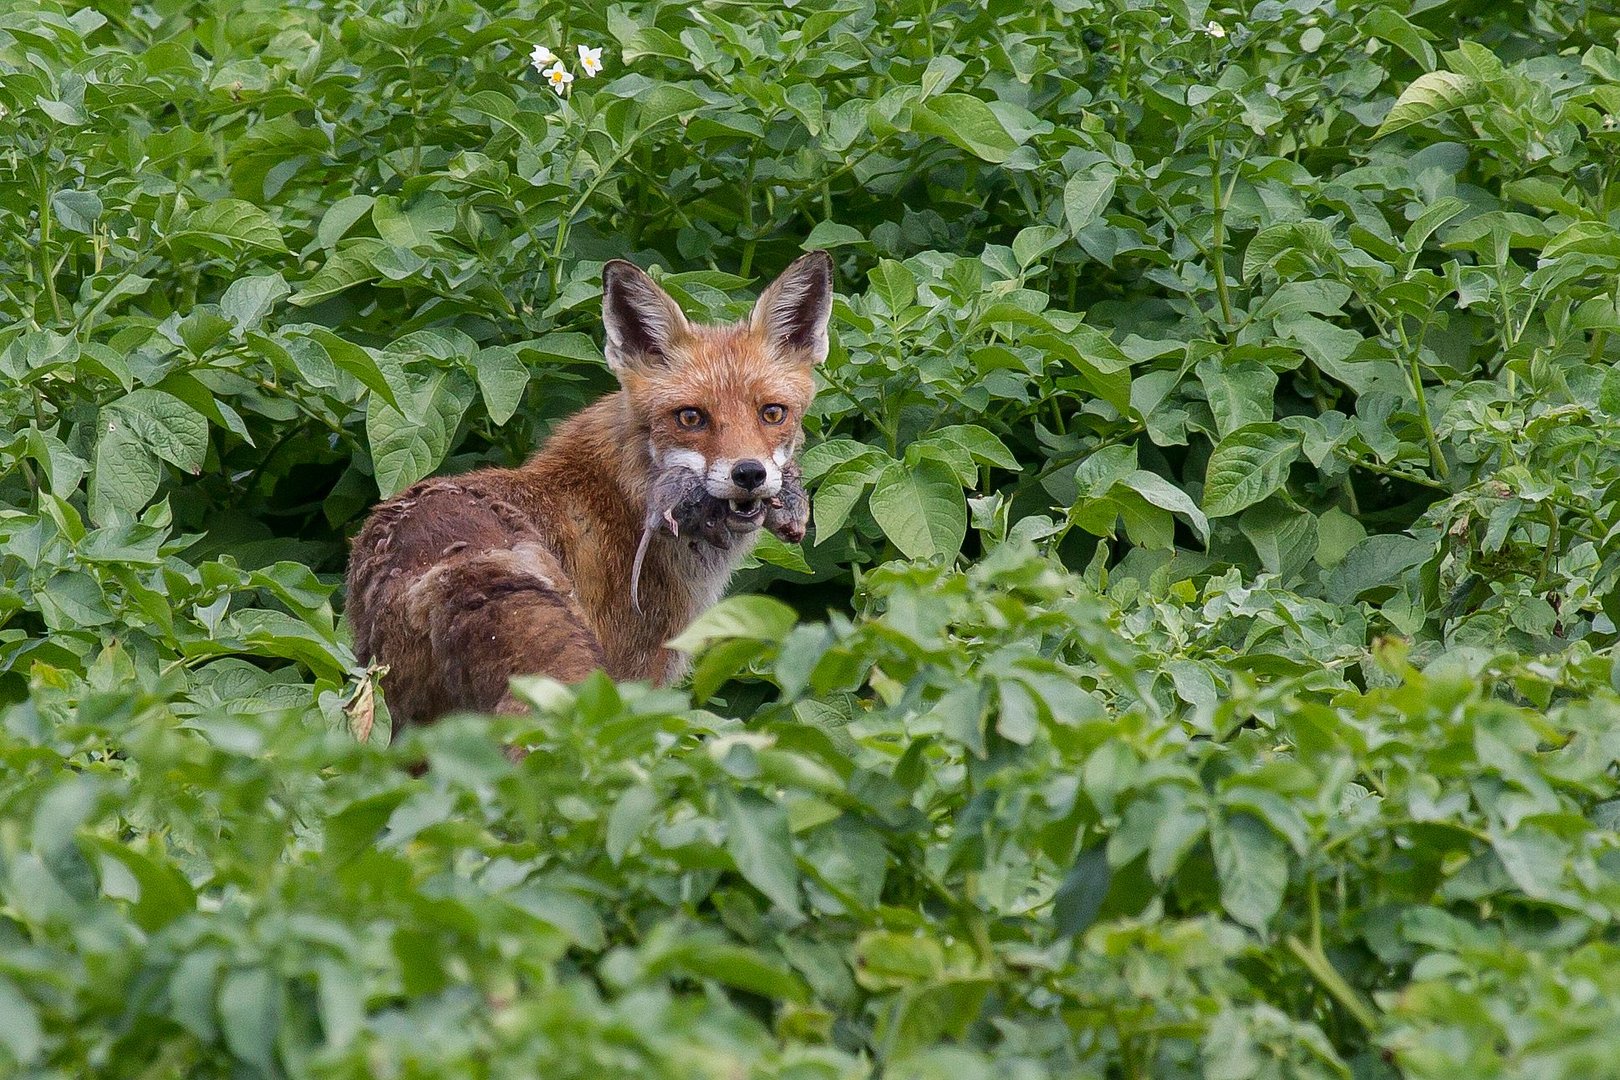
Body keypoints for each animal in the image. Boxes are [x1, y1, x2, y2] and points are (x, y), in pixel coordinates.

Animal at [346, 249, 829, 731]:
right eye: (690, 417)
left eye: (772, 413)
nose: (749, 473)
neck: (626, 496)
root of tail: (443, 544)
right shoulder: (638, 682)